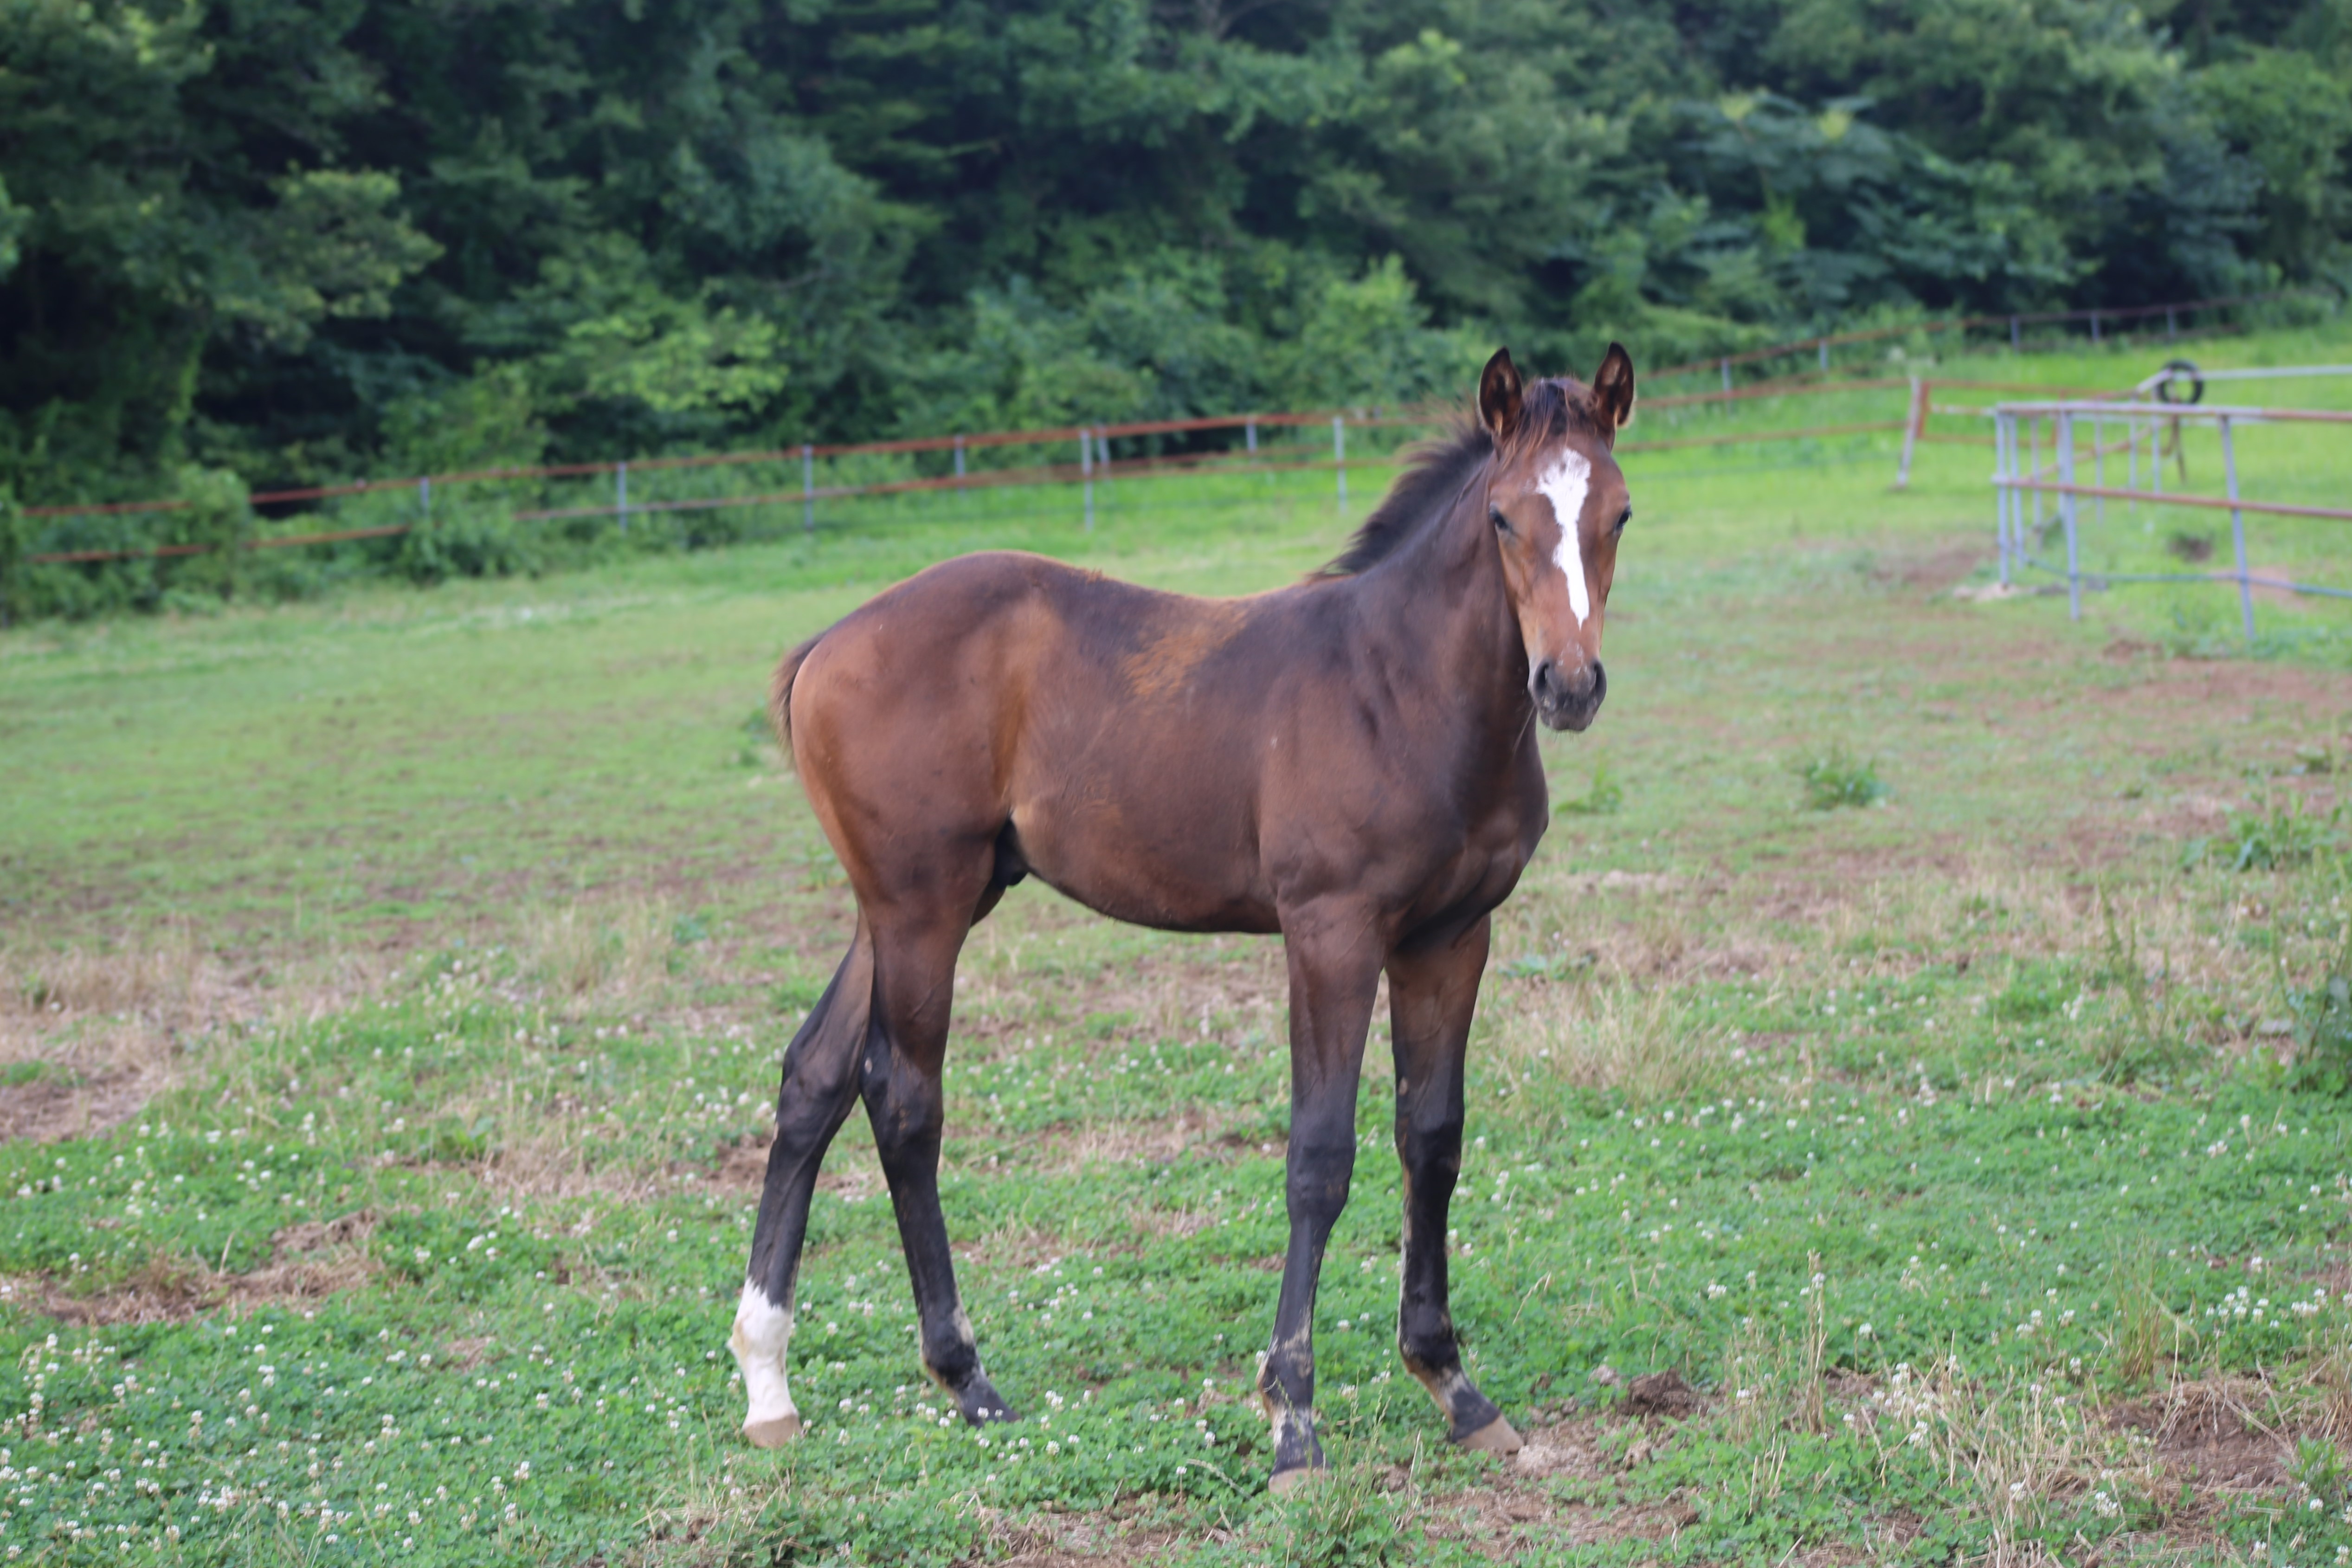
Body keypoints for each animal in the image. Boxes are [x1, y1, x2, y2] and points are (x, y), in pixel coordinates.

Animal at [729, 345, 1637, 1495]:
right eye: (1503, 519)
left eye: (1616, 512)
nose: (1567, 685)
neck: (1400, 688)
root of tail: (824, 646)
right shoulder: (1329, 931)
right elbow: (1318, 1155)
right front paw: (1292, 1419)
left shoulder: (1452, 936)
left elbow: (1430, 1138)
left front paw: (1453, 1386)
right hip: (919, 906)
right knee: (900, 1098)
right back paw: (965, 1378)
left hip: (915, 901)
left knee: (812, 1078)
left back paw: (768, 1384)